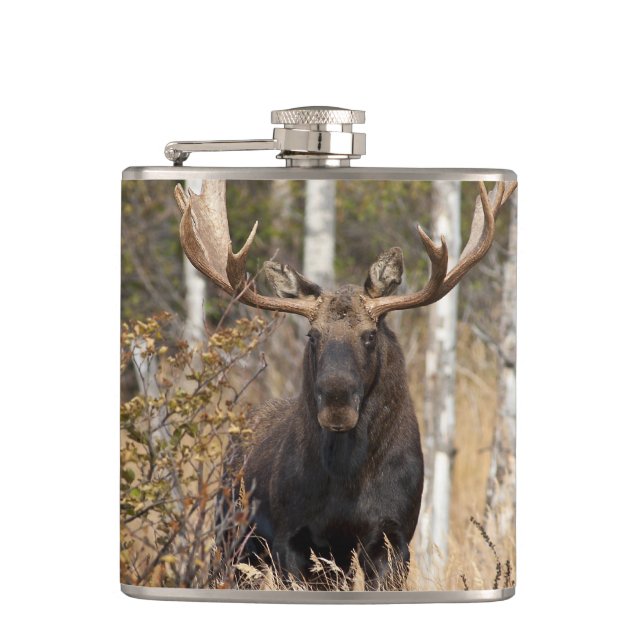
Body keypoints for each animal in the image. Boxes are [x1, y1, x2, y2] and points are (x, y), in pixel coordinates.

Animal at [174, 178, 517, 590]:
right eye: (313, 335)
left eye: (370, 335)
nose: (337, 403)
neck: (347, 482)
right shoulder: (294, 537)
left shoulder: (394, 535)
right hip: (231, 535)